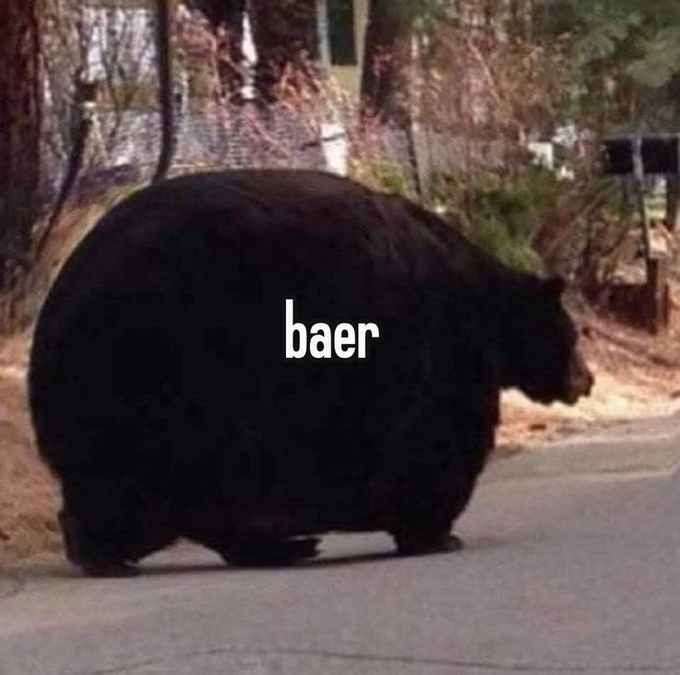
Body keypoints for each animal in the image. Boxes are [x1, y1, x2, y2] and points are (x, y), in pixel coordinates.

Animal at [28, 169, 593, 577]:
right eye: (575, 336)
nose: (586, 380)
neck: (489, 310)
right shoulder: (444, 356)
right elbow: (440, 447)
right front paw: (436, 533)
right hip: (165, 379)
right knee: (151, 488)